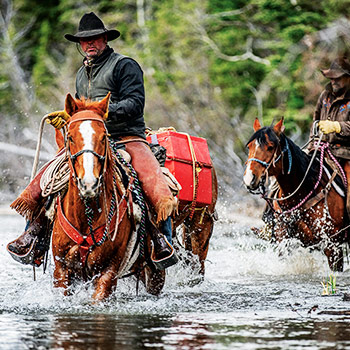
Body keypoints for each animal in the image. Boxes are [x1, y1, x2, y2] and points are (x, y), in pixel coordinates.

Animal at [52, 92, 165, 298]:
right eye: (70, 137)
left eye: (104, 137)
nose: (89, 183)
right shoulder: (61, 271)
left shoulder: (107, 272)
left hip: (155, 274)